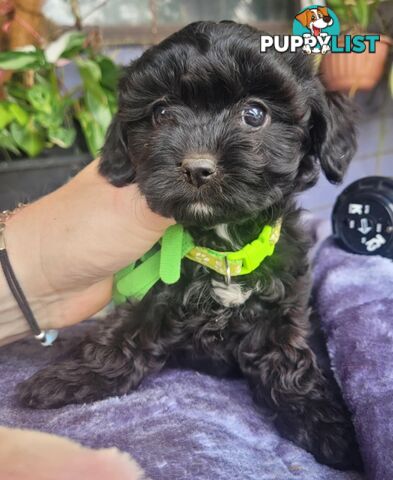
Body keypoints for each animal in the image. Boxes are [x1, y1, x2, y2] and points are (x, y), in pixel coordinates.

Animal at [18, 21, 362, 468]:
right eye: (162, 113)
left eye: (255, 114)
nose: (198, 167)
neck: (222, 242)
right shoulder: (153, 292)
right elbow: (122, 334)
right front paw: (65, 378)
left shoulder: (282, 303)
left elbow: (288, 360)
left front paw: (326, 424)